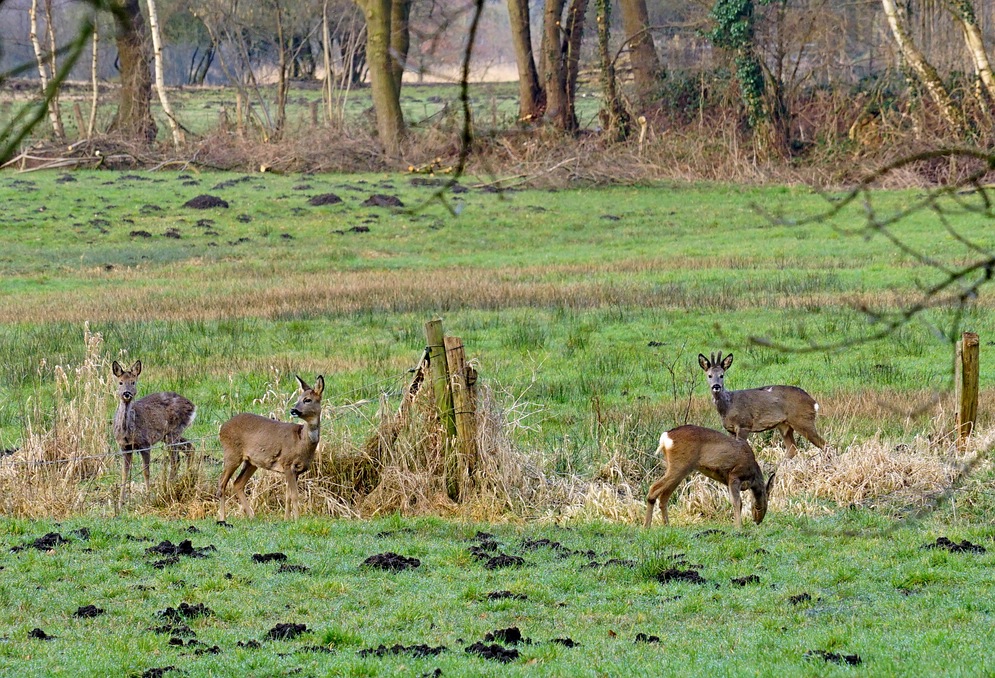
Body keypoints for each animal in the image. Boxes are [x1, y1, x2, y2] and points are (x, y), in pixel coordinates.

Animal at [112, 362, 196, 504]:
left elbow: (146, 472)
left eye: (133, 382)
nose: (126, 393)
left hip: (173, 432)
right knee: (189, 447)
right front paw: (120, 502)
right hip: (169, 434)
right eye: (120, 382)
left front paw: (147, 498)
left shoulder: (145, 443)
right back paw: (188, 480)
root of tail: (193, 406)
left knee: (175, 460)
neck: (127, 431)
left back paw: (170, 487)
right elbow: (124, 473)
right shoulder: (124, 446)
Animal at [219, 374, 324, 524]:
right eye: (298, 398)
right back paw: (222, 518)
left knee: (237, 483)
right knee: (222, 483)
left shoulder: (296, 470)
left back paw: (252, 516)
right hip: (232, 454)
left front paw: (287, 519)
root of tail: (222, 428)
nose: (293, 410)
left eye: (307, 399)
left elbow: (288, 496)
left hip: (251, 462)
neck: (301, 441)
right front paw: (297, 520)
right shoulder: (287, 463)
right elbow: (294, 495)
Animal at [644, 424, 780, 532]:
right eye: (763, 504)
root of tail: (665, 437)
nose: (758, 521)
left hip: (678, 468)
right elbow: (738, 502)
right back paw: (647, 526)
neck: (752, 473)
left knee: (664, 497)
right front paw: (738, 527)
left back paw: (667, 526)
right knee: (653, 488)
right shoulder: (734, 475)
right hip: (680, 465)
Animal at [696, 354, 828, 460]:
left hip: (803, 420)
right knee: (792, 450)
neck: (728, 406)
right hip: (784, 426)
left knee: (824, 444)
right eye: (709, 375)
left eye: (722, 375)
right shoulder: (730, 430)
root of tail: (814, 402)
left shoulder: (744, 425)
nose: (716, 386)